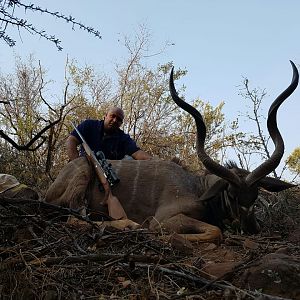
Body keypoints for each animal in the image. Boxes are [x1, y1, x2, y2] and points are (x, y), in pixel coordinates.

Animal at [44, 62, 298, 243]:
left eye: (255, 196)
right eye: (232, 195)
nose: (250, 228)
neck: (198, 187)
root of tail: (49, 190)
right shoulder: (164, 219)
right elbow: (215, 231)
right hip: (83, 173)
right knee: (73, 219)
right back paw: (131, 226)